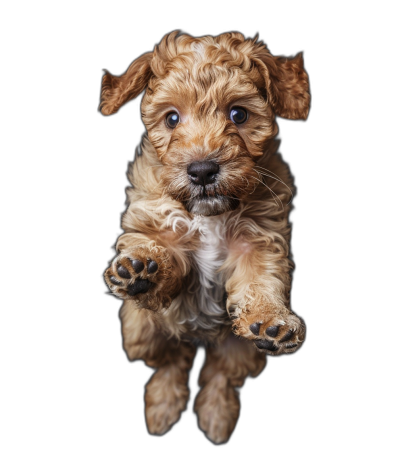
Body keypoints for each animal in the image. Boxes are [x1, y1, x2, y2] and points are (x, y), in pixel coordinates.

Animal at [100, 31, 310, 442]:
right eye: (171, 118)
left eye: (238, 114)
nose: (202, 170)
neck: (209, 215)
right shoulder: (161, 224)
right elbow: (164, 252)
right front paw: (141, 268)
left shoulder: (260, 240)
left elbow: (261, 282)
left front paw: (271, 321)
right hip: (140, 330)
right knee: (169, 363)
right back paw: (162, 408)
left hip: (238, 351)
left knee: (221, 375)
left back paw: (217, 417)